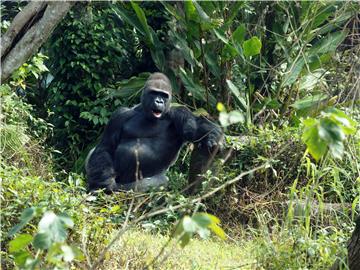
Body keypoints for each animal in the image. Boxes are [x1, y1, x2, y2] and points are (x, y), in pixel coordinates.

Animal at [86, 73, 222, 193]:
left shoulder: (180, 111)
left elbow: (195, 128)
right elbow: (106, 146)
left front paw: (213, 137)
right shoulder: (120, 115)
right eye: (154, 93)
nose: (159, 101)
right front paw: (102, 183)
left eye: (164, 95)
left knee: (160, 181)